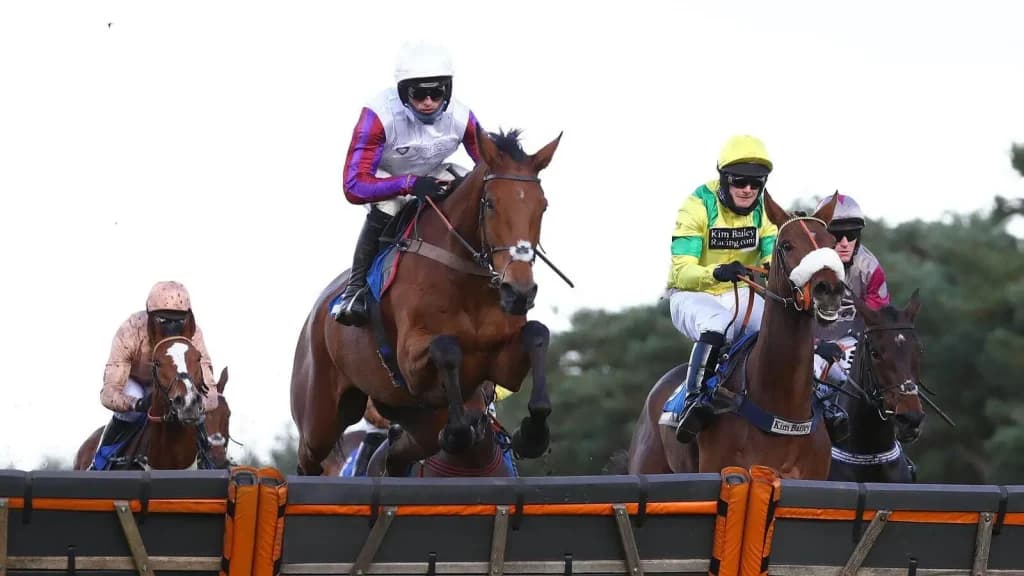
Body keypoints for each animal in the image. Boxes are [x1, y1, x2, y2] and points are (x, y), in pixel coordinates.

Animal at [291, 127, 562, 476]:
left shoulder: (501, 366)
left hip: (413, 418)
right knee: (308, 461)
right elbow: (446, 347)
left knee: (397, 454)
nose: (519, 291)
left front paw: (532, 435)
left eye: (543, 207)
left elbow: (537, 333)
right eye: (490, 204)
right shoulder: (410, 362)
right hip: (319, 418)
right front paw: (460, 431)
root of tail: (316, 314)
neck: (465, 283)